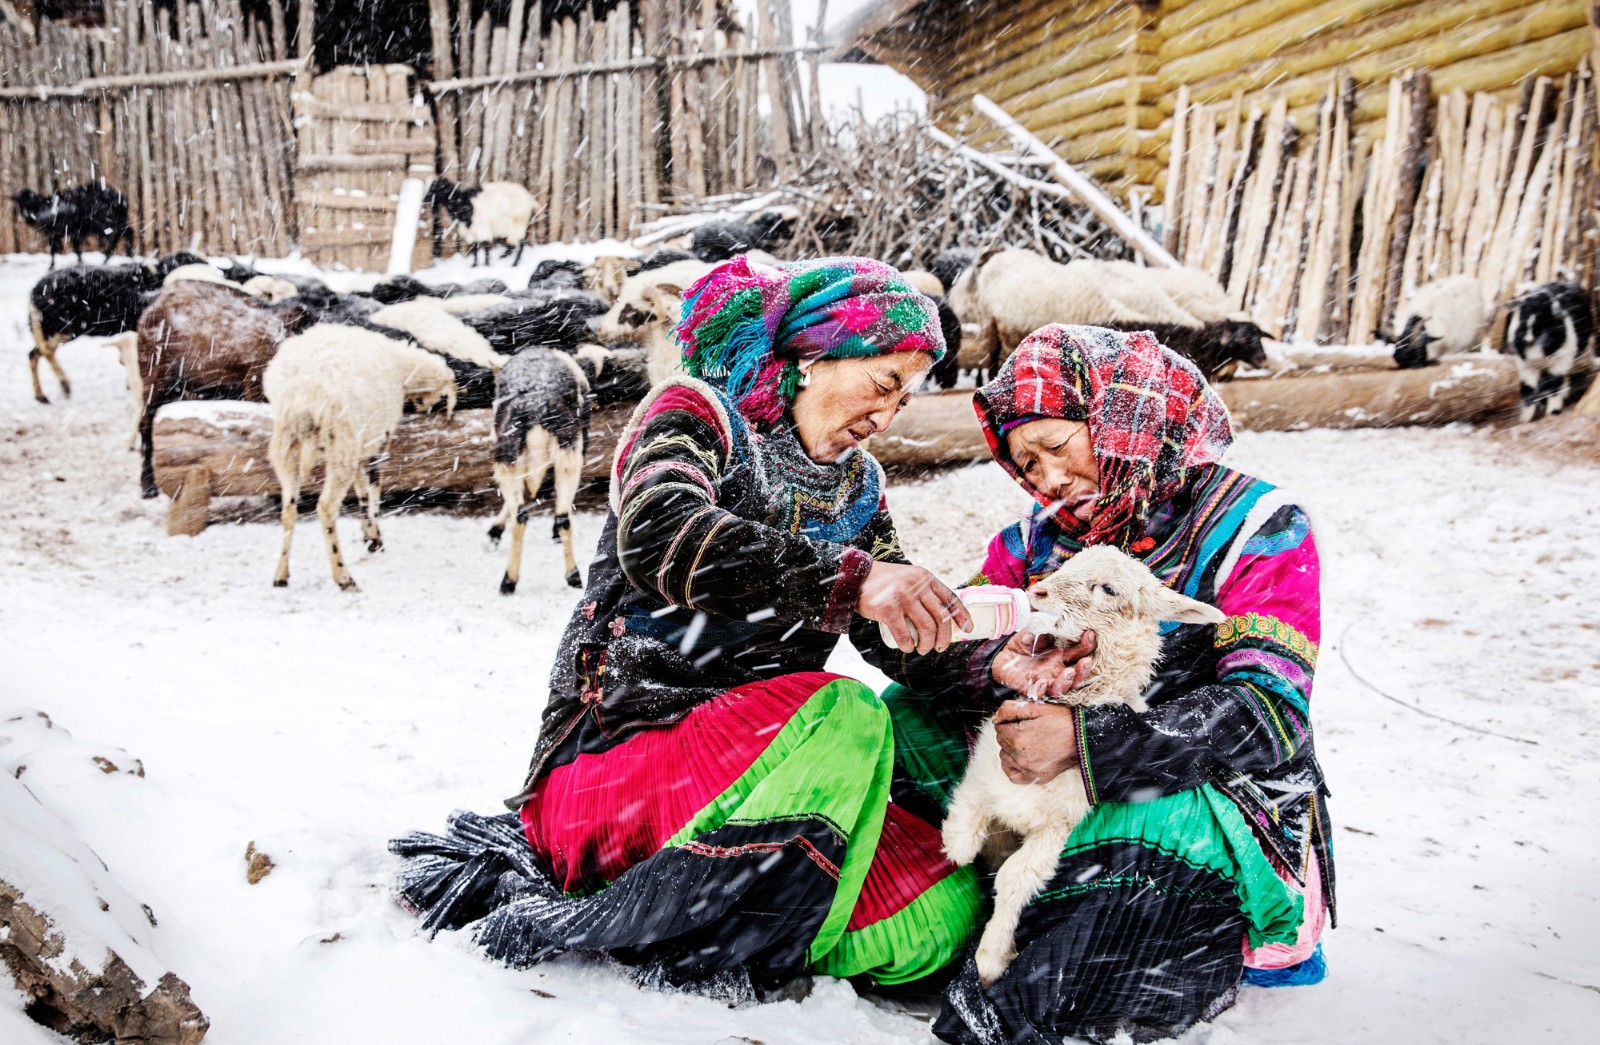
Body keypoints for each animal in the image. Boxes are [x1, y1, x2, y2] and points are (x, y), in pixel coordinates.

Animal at [265, 326, 457, 592]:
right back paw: (344, 577)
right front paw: (375, 537)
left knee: (288, 511)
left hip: (288, 447)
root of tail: (305, 394)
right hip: (340, 446)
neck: (403, 368)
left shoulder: (360, 446)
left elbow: (361, 491)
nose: (427, 409)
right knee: (326, 508)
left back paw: (281, 575)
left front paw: (369, 534)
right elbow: (373, 490)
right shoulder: (376, 442)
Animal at [934, 547, 1222, 985]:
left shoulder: (1059, 827)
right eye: (1069, 564)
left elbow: (1015, 878)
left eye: (1109, 589)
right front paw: (956, 848)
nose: (1038, 591)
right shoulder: (985, 775)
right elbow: (966, 834)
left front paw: (990, 959)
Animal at [1504, 281, 1593, 422]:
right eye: (1522, 324)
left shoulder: (1560, 360)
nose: (1528, 339)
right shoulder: (1526, 366)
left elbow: (1552, 384)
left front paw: (1553, 412)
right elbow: (1528, 388)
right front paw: (1526, 418)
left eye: (1543, 325)